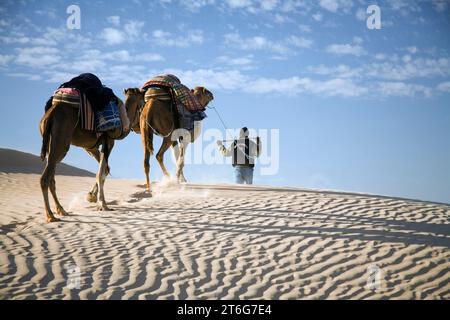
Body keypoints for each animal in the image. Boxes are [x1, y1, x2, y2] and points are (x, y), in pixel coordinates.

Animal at [39, 87, 141, 222]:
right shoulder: (109, 141)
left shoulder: (90, 147)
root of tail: (50, 114)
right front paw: (102, 204)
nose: (139, 127)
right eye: (142, 98)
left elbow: (105, 170)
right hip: (61, 141)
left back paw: (62, 210)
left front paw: (91, 196)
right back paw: (50, 216)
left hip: (51, 143)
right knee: (45, 178)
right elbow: (101, 172)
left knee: (51, 177)